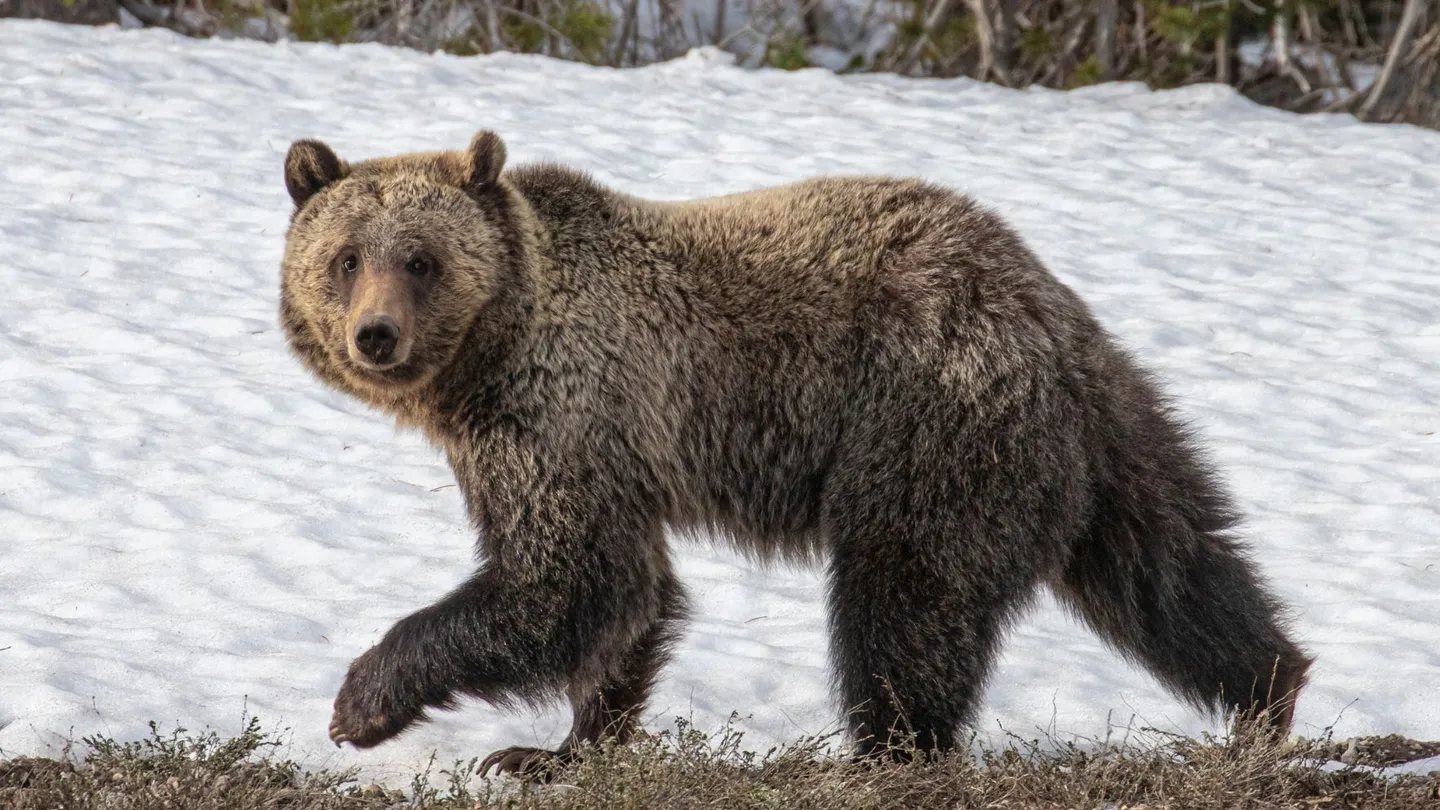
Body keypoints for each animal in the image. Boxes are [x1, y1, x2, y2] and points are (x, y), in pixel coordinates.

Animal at [275, 128, 1313, 772]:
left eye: (420, 258)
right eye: (345, 257)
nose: (375, 336)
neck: (486, 361)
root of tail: (1044, 312)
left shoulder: (561, 414)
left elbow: (562, 582)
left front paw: (363, 701)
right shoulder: (590, 447)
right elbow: (630, 595)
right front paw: (554, 750)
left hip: (923, 423)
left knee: (905, 599)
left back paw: (887, 752)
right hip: (1109, 437)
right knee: (1173, 567)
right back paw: (1269, 694)